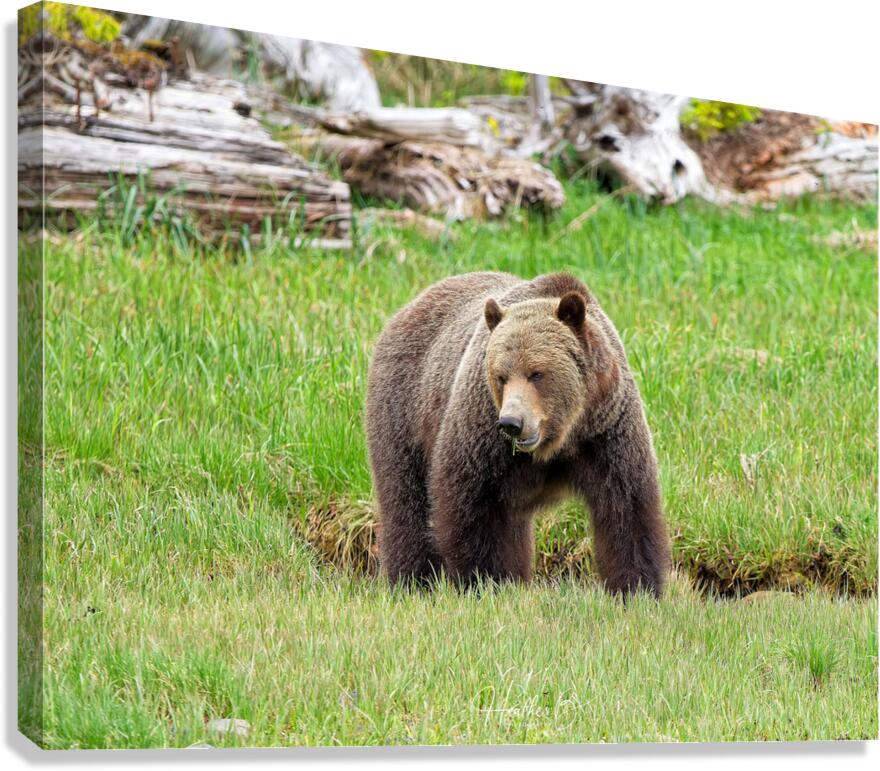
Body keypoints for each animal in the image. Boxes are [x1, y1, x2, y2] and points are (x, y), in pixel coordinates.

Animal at [365, 271, 670, 597]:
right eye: (501, 376)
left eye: (537, 373)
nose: (512, 422)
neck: (561, 437)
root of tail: (408, 307)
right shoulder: (483, 435)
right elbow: (470, 504)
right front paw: (485, 581)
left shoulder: (607, 433)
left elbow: (627, 510)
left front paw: (638, 588)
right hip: (404, 409)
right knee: (405, 503)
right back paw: (412, 582)